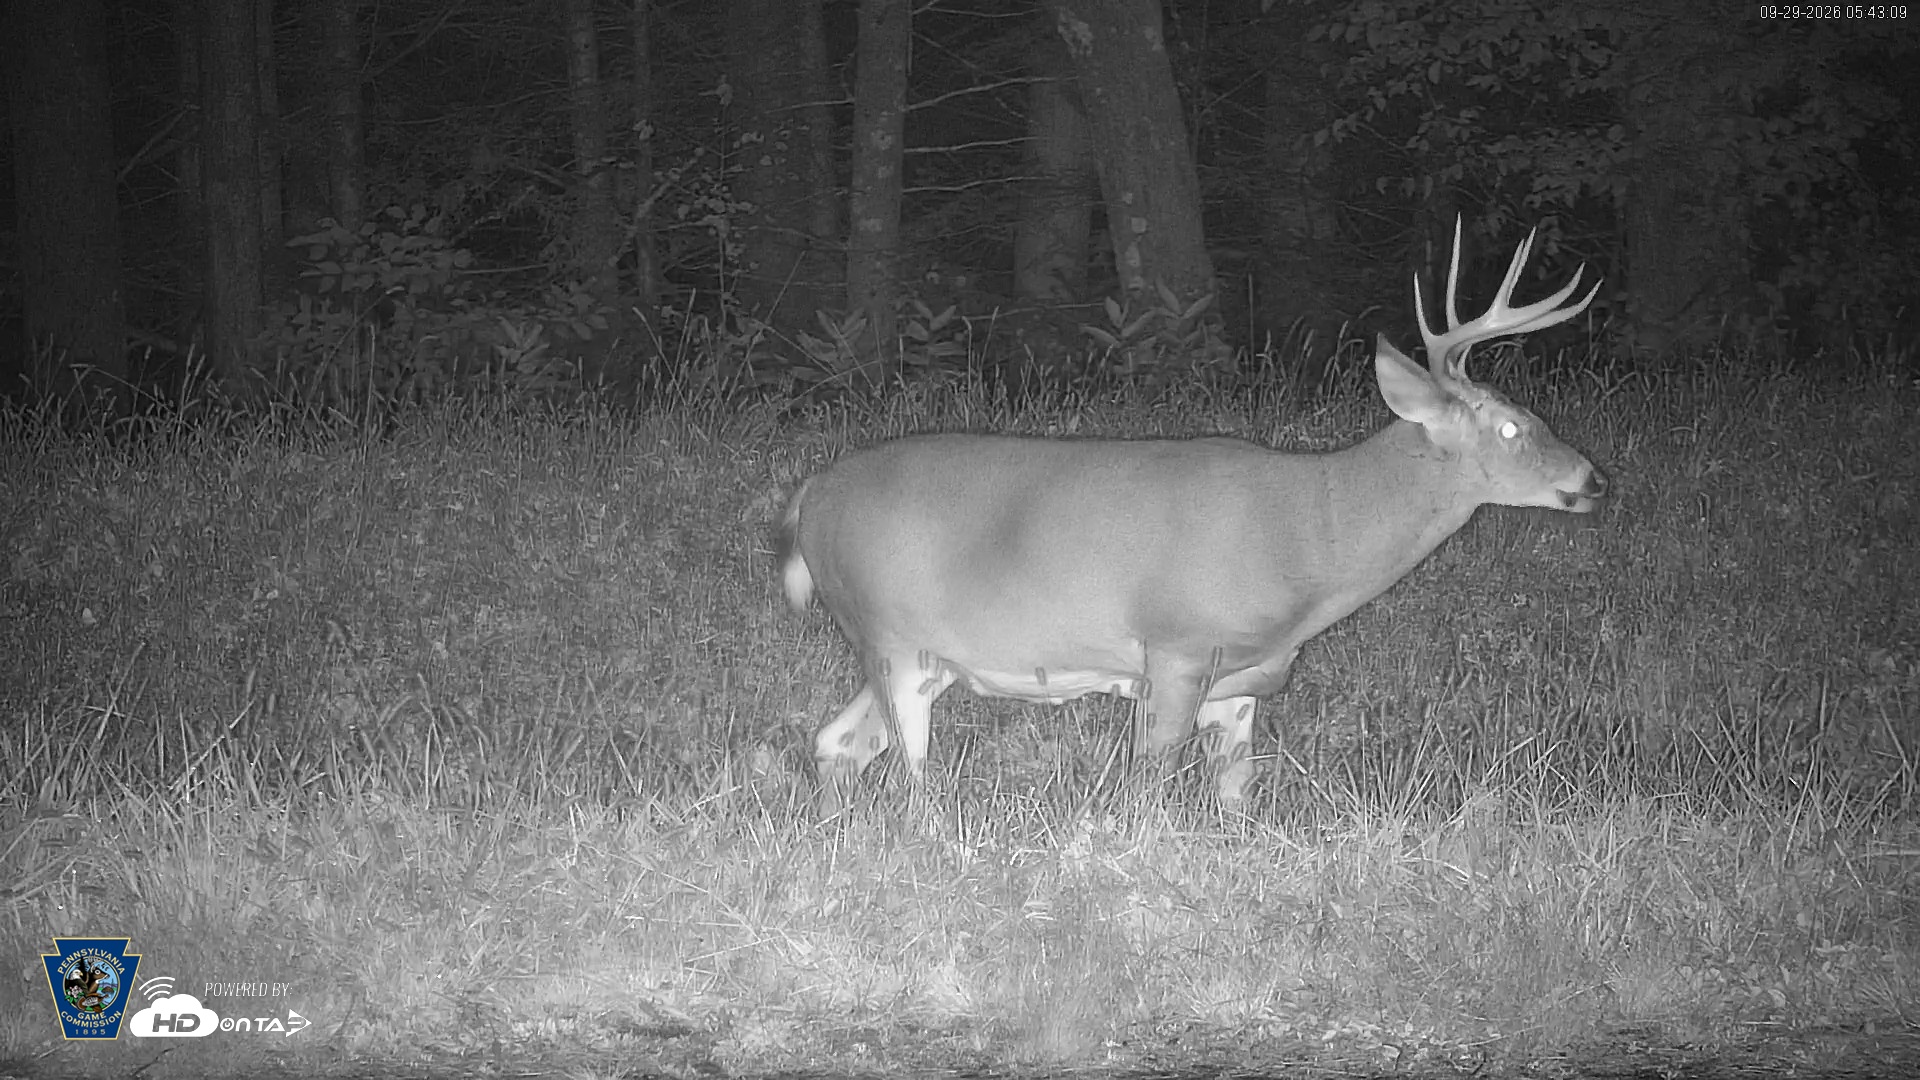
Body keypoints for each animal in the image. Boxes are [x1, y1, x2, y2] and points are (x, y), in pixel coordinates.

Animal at [777, 218, 1605, 814]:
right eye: (1511, 428)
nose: (1593, 478)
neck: (1313, 538)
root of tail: (809, 494)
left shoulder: (1243, 682)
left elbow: (1238, 799)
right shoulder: (1176, 647)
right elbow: (1149, 788)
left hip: (919, 653)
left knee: (836, 742)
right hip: (888, 634)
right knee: (906, 778)